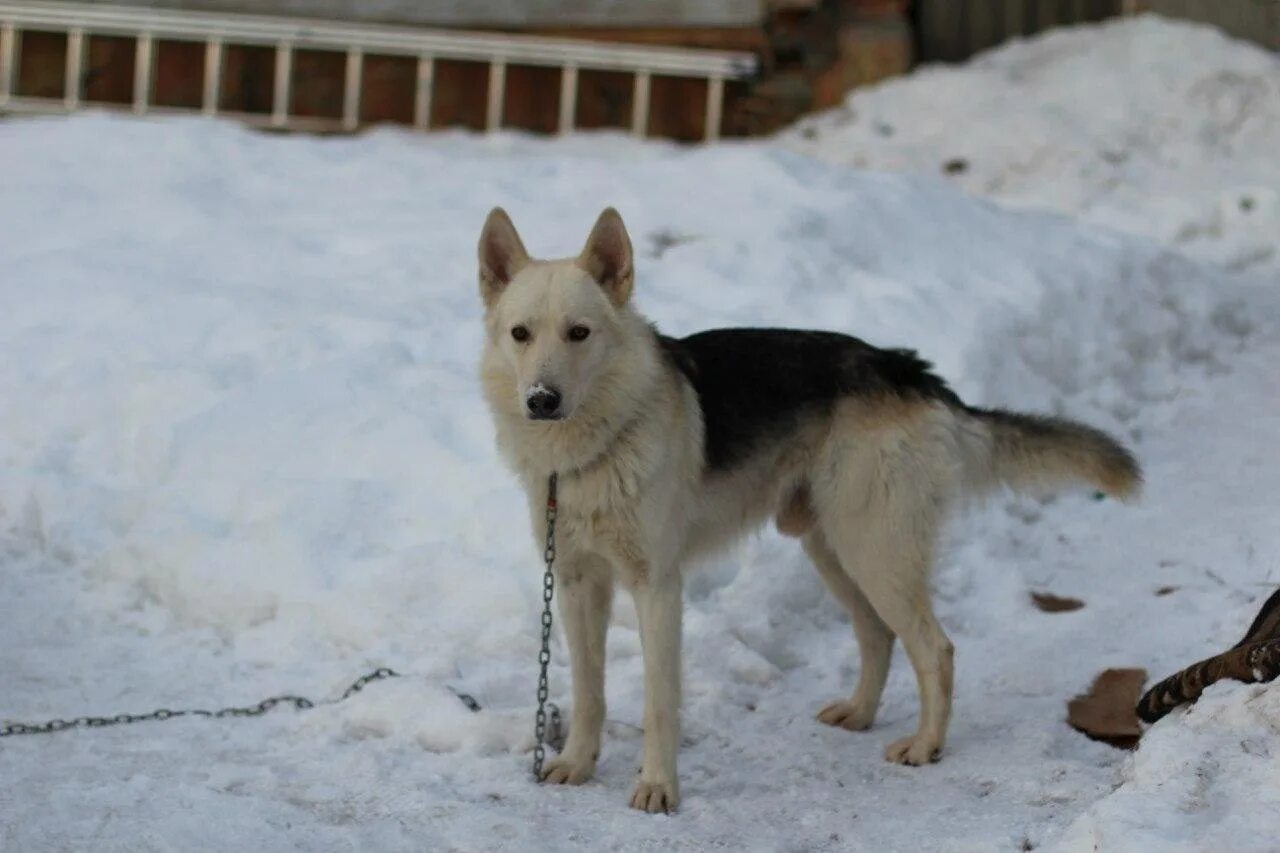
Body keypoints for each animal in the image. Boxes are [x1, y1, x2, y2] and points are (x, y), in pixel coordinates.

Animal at [476, 206, 1136, 809]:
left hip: (873, 551)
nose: (541, 399)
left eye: (579, 333)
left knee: (935, 649)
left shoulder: (658, 587)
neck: (594, 448)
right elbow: (589, 689)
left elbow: (660, 702)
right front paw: (577, 763)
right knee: (878, 634)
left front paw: (658, 787)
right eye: (521, 334)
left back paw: (926, 745)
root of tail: (909, 371)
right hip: (834, 550)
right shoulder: (576, 583)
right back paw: (861, 712)